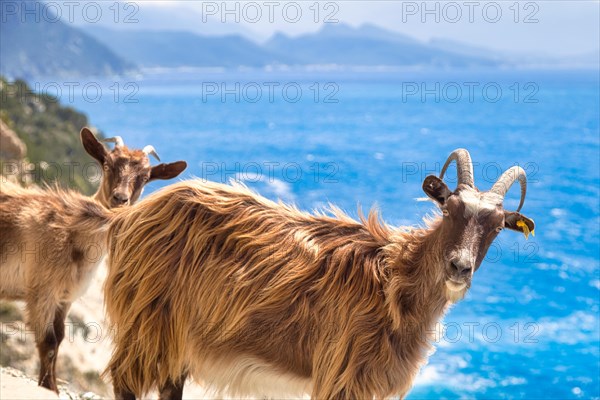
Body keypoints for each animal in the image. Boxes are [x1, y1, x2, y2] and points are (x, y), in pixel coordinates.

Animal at [0, 129, 188, 394]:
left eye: (145, 177)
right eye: (108, 164)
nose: (120, 198)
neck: (73, 233)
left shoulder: (65, 297)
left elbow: (59, 338)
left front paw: (51, 386)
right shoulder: (42, 292)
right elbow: (48, 342)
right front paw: (49, 388)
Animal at [103, 150, 536, 400]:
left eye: (497, 227)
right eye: (448, 209)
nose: (459, 266)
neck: (393, 281)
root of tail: (129, 218)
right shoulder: (342, 375)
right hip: (147, 320)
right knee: (125, 381)